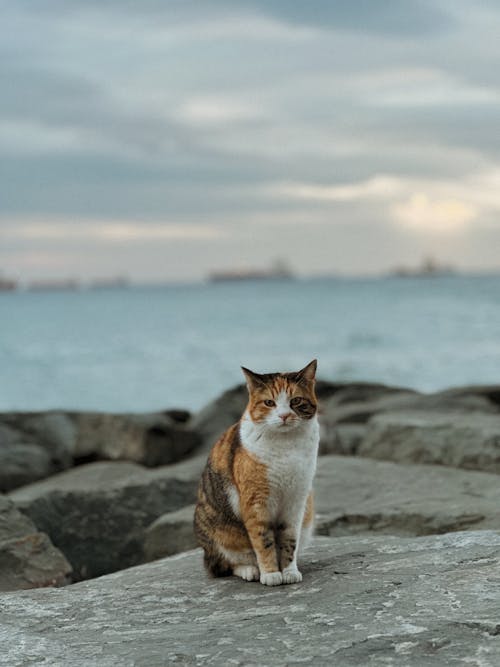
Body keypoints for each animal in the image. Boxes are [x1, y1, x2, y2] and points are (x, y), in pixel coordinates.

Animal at [193, 362, 318, 588]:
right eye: (269, 402)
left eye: (296, 400)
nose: (284, 416)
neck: (286, 446)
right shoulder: (256, 501)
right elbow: (263, 540)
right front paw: (271, 574)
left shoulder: (296, 500)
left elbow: (289, 540)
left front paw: (289, 571)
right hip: (217, 529)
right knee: (226, 564)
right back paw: (250, 570)